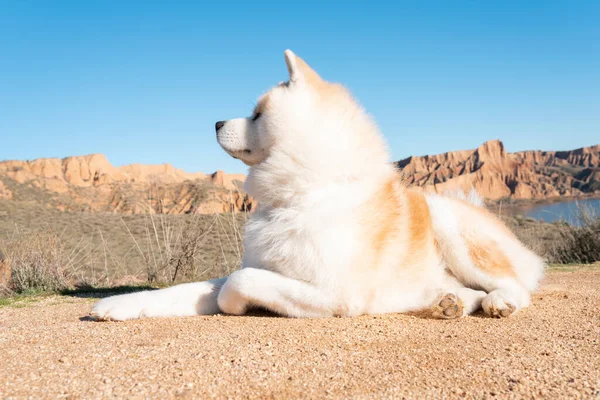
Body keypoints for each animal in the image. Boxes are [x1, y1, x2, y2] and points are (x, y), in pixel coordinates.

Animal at [91, 50, 548, 322]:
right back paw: (449, 302)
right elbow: (182, 290)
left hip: (450, 226)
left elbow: (239, 283)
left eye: (257, 114)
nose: (216, 122)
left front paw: (237, 306)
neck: (304, 193)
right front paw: (118, 304)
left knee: (516, 285)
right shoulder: (264, 267)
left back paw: (497, 302)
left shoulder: (336, 292)